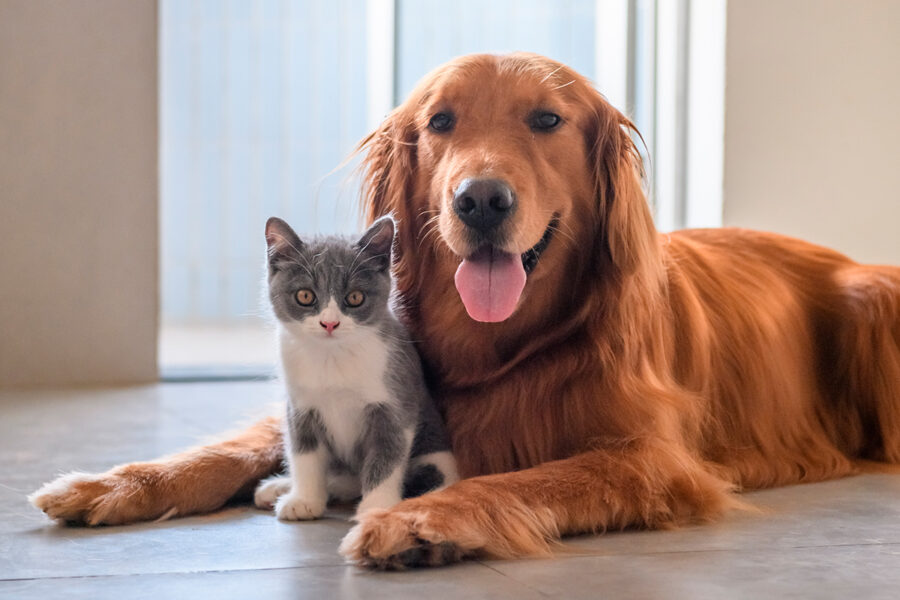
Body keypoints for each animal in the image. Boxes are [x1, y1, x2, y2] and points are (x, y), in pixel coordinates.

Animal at [256, 216, 460, 520]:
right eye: (305, 295)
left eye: (355, 298)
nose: (329, 323)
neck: (333, 357)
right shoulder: (300, 407)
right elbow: (304, 454)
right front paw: (304, 499)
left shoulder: (394, 404)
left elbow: (386, 456)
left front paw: (376, 507)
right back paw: (280, 487)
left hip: (435, 459)